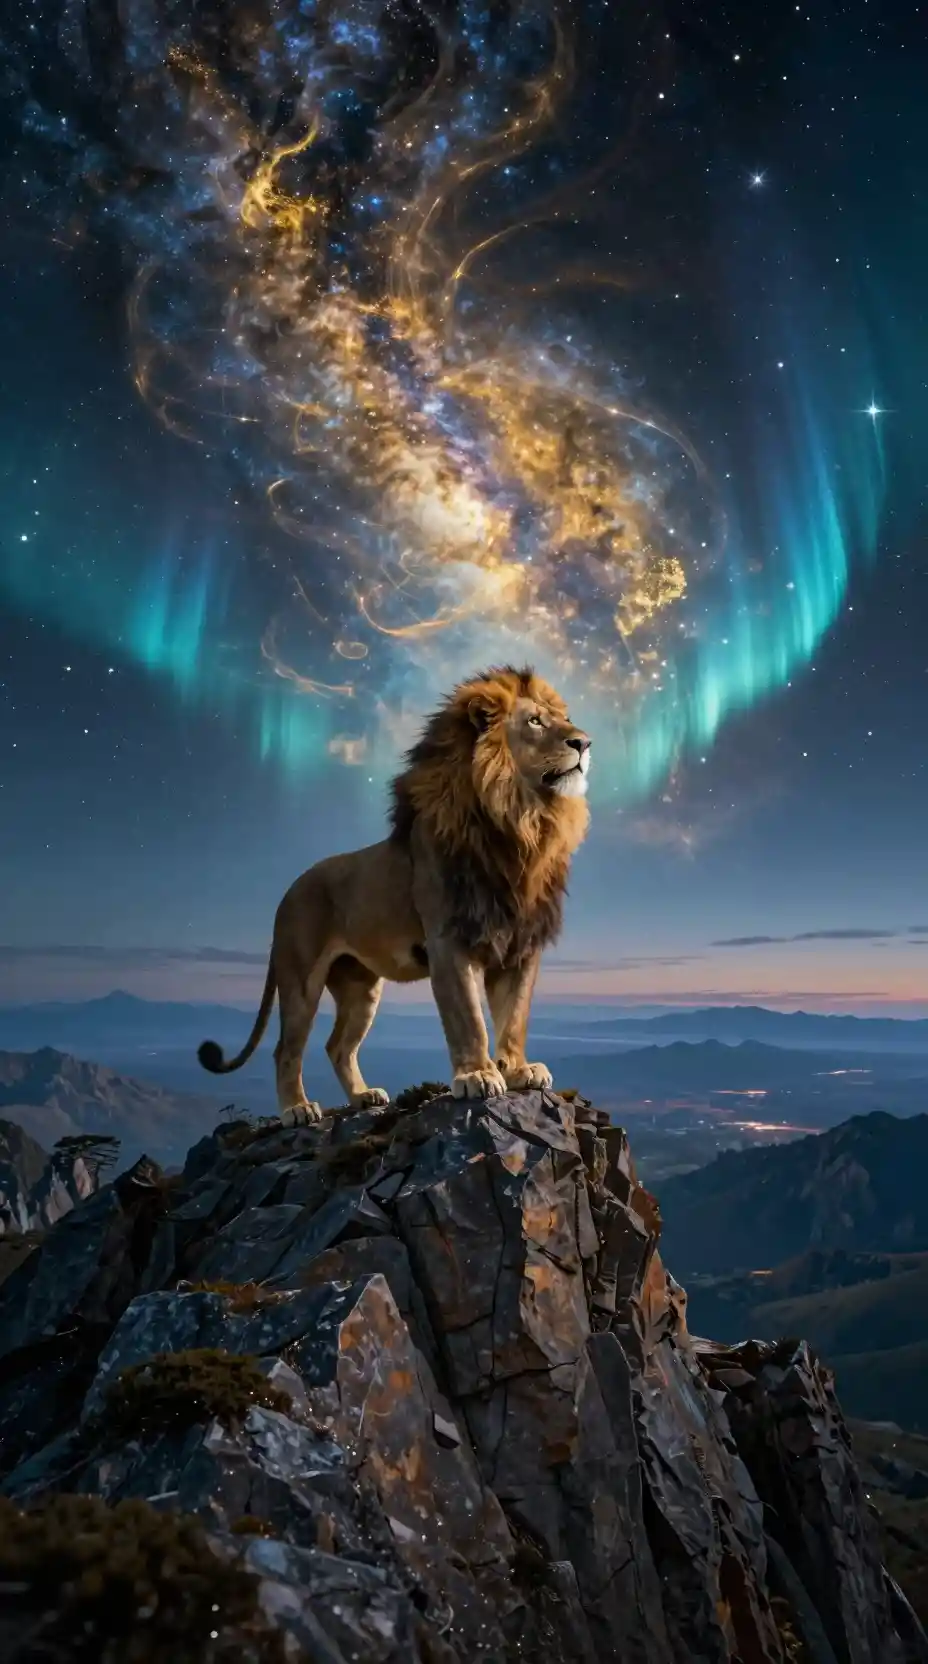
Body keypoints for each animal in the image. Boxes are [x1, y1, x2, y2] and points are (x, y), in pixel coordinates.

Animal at [198, 666, 591, 1120]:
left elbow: (514, 1017)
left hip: (360, 988)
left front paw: (518, 1070)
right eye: (535, 721)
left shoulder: (520, 946)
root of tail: (288, 890)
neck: (522, 823)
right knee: (286, 1050)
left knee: (337, 1046)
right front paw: (477, 1075)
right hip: (300, 979)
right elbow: (469, 1019)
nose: (584, 742)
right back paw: (297, 1109)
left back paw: (363, 1097)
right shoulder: (448, 941)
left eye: (564, 719)